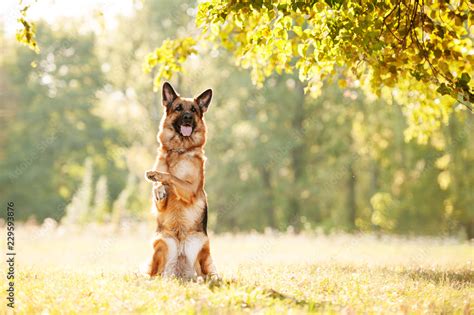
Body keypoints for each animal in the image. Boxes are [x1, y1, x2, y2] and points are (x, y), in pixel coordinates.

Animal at [145, 82, 218, 280]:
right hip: (162, 243)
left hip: (200, 246)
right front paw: (159, 188)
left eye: (193, 110)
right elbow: (159, 186)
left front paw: (158, 176)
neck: (179, 150)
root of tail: (180, 272)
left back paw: (205, 279)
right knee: (156, 274)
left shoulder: (190, 189)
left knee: (205, 274)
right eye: (178, 108)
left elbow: (172, 176)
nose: (187, 117)